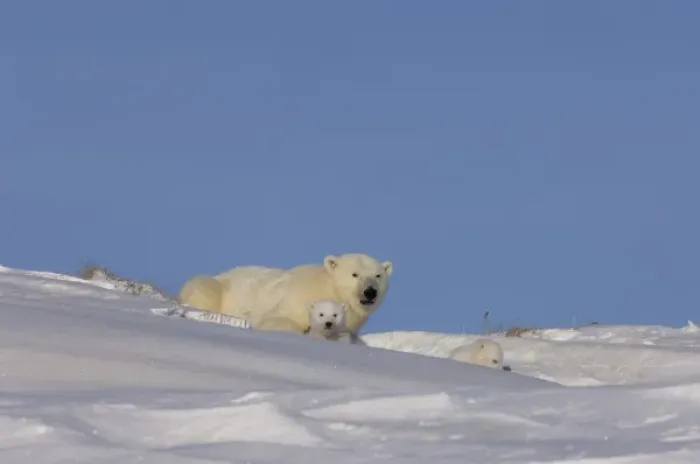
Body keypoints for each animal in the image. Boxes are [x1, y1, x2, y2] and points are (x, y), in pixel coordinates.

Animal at [178, 253, 392, 336]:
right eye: (354, 274)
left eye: (378, 275)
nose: (370, 292)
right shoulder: (292, 299)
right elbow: (275, 319)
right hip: (214, 287)